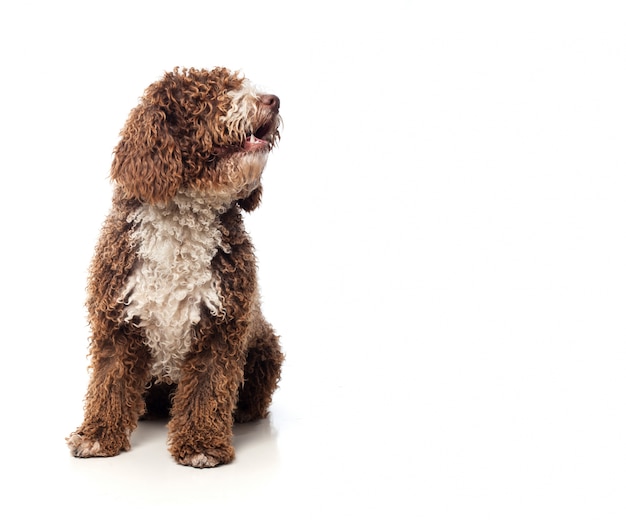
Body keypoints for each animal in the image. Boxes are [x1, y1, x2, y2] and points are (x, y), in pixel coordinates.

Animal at [66, 67, 282, 470]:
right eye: (213, 94)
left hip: (265, 348)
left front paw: (201, 443)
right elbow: (109, 381)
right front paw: (98, 435)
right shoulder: (117, 318)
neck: (181, 223)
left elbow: (207, 388)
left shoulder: (221, 326)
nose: (273, 100)